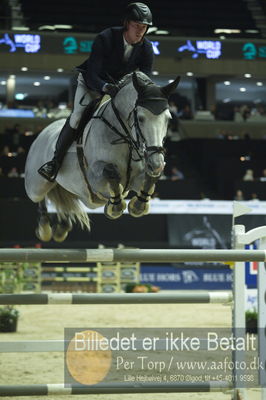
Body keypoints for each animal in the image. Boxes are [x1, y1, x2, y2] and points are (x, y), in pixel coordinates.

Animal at [25, 70, 180, 242]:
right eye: (140, 118)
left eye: (168, 119)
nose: (156, 163)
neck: (124, 137)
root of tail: (42, 132)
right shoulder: (94, 178)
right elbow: (110, 173)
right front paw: (115, 207)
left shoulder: (136, 179)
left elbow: (149, 181)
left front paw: (138, 206)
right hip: (36, 186)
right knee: (40, 198)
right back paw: (45, 228)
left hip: (82, 196)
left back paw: (62, 227)